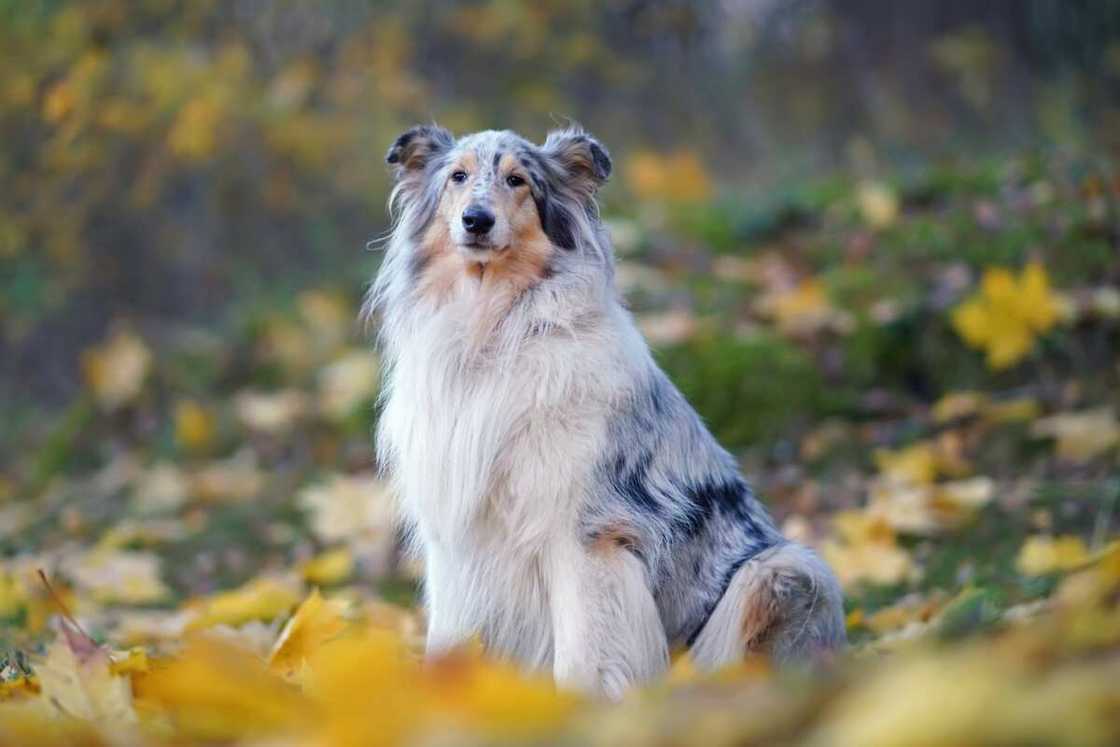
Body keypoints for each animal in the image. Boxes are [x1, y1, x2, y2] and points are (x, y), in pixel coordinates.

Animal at [367, 124, 842, 703]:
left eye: (517, 180)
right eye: (457, 176)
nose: (476, 220)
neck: (492, 331)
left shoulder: (582, 532)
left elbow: (585, 651)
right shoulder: (455, 534)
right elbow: (449, 639)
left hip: (782, 570)